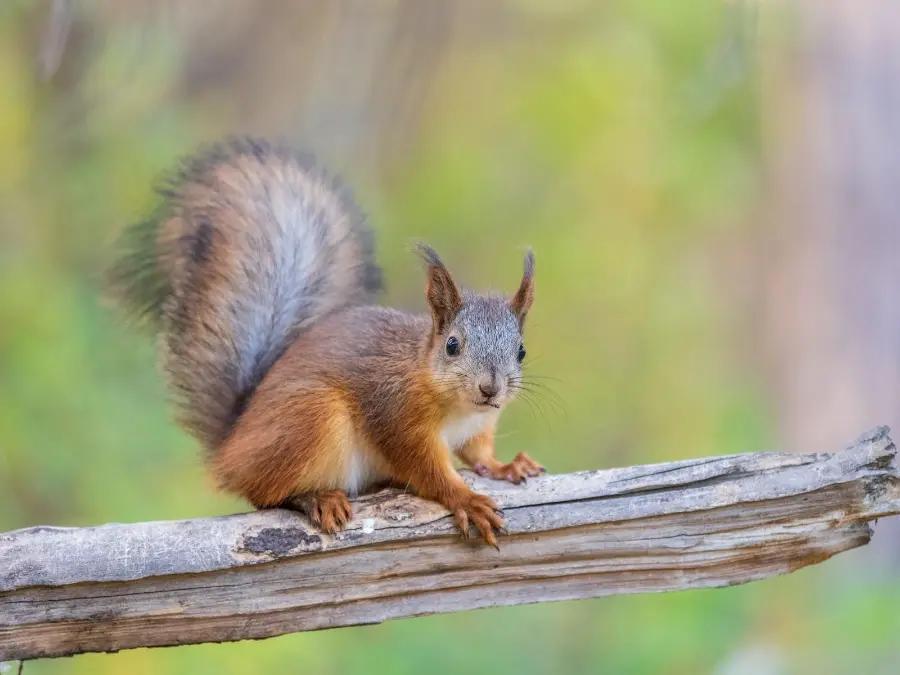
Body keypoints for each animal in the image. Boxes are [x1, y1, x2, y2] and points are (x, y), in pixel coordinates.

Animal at [109, 137, 543, 546]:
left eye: (521, 351)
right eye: (453, 345)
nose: (490, 388)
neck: (455, 404)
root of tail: (231, 447)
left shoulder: (478, 427)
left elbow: (477, 453)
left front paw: (506, 466)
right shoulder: (396, 417)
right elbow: (427, 469)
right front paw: (466, 499)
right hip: (313, 416)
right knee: (265, 493)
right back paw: (317, 498)